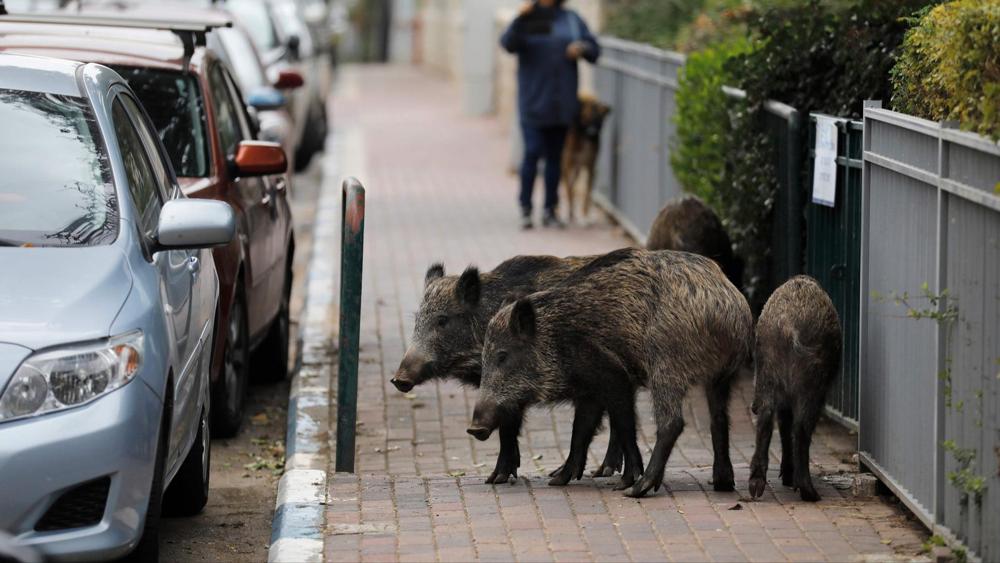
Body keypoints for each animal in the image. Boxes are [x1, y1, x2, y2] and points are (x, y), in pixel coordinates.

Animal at [564, 94, 608, 223]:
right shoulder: (569, 166)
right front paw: (571, 215)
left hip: (578, 170)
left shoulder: (591, 168)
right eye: (587, 116)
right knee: (567, 188)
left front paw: (584, 216)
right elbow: (570, 191)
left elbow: (587, 195)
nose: (594, 130)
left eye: (599, 118)